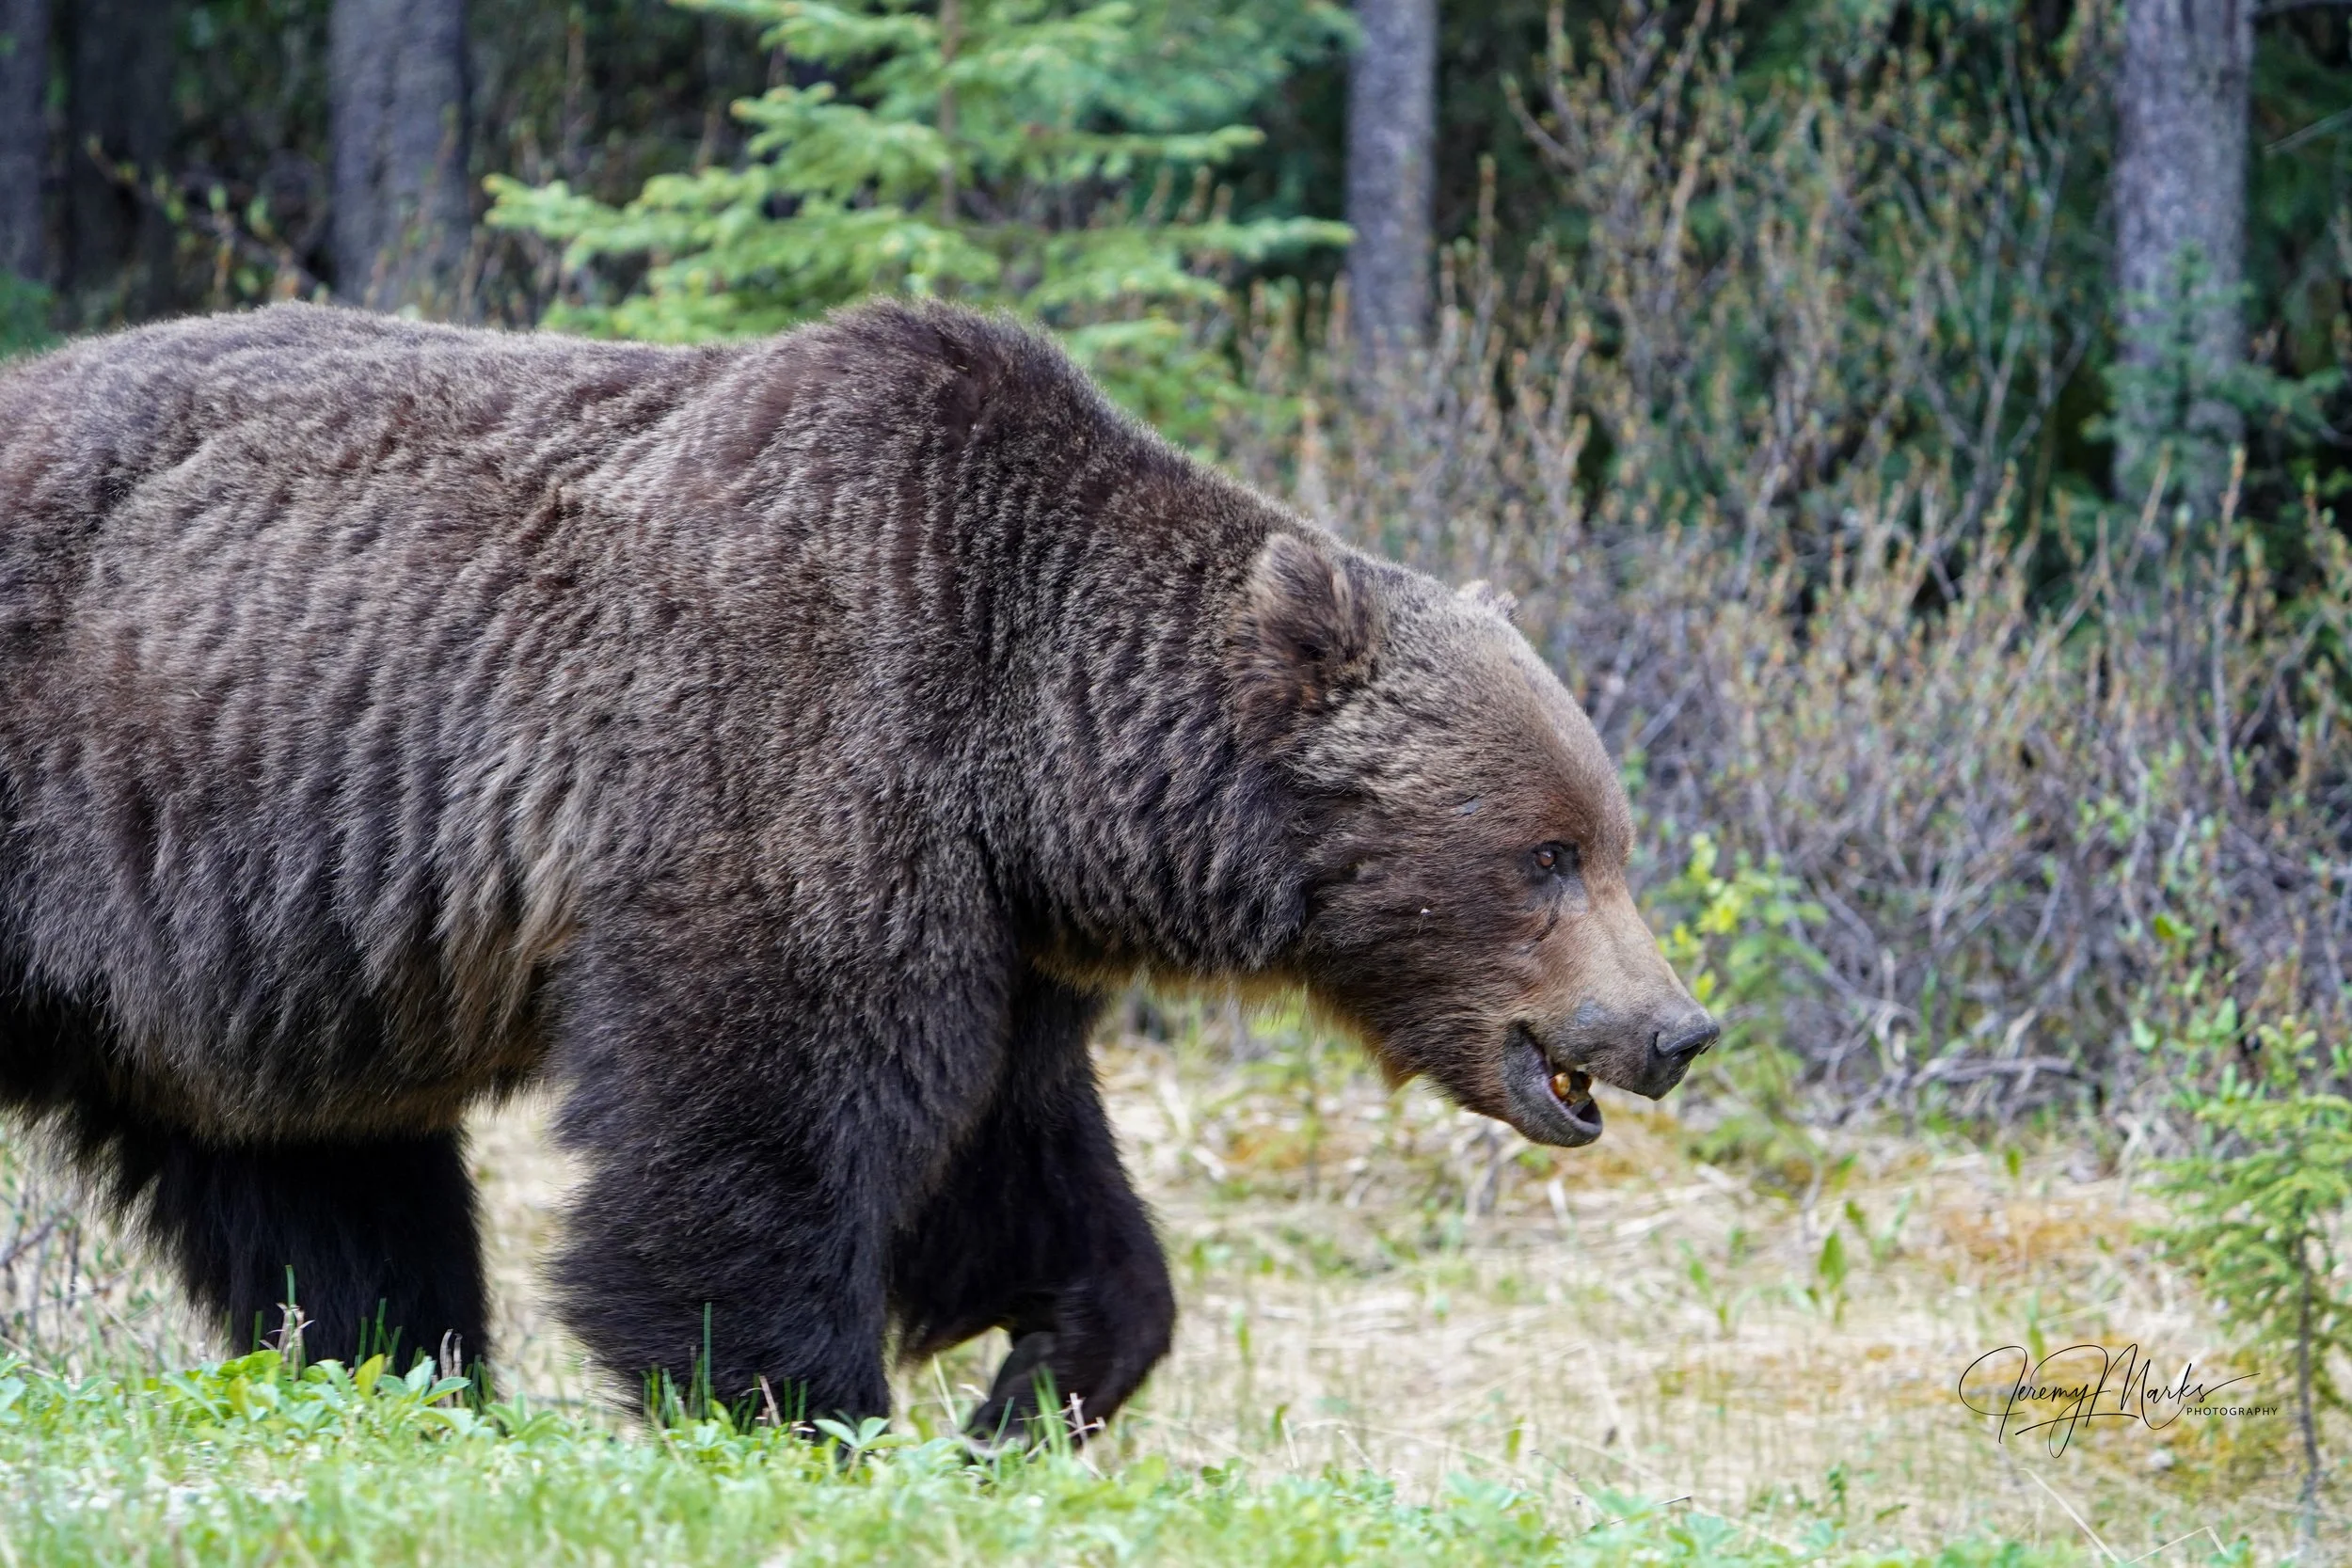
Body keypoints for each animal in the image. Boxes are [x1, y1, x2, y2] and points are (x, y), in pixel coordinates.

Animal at [0, 300, 1715, 1437]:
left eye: (1613, 841)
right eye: (1547, 852)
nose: (1673, 1027)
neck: (1034, 746)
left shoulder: (1000, 928)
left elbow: (1016, 1178)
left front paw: (1039, 1384)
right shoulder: (798, 765)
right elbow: (752, 1131)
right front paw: (805, 1405)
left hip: (245, 981)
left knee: (321, 1186)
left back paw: (406, 1374)